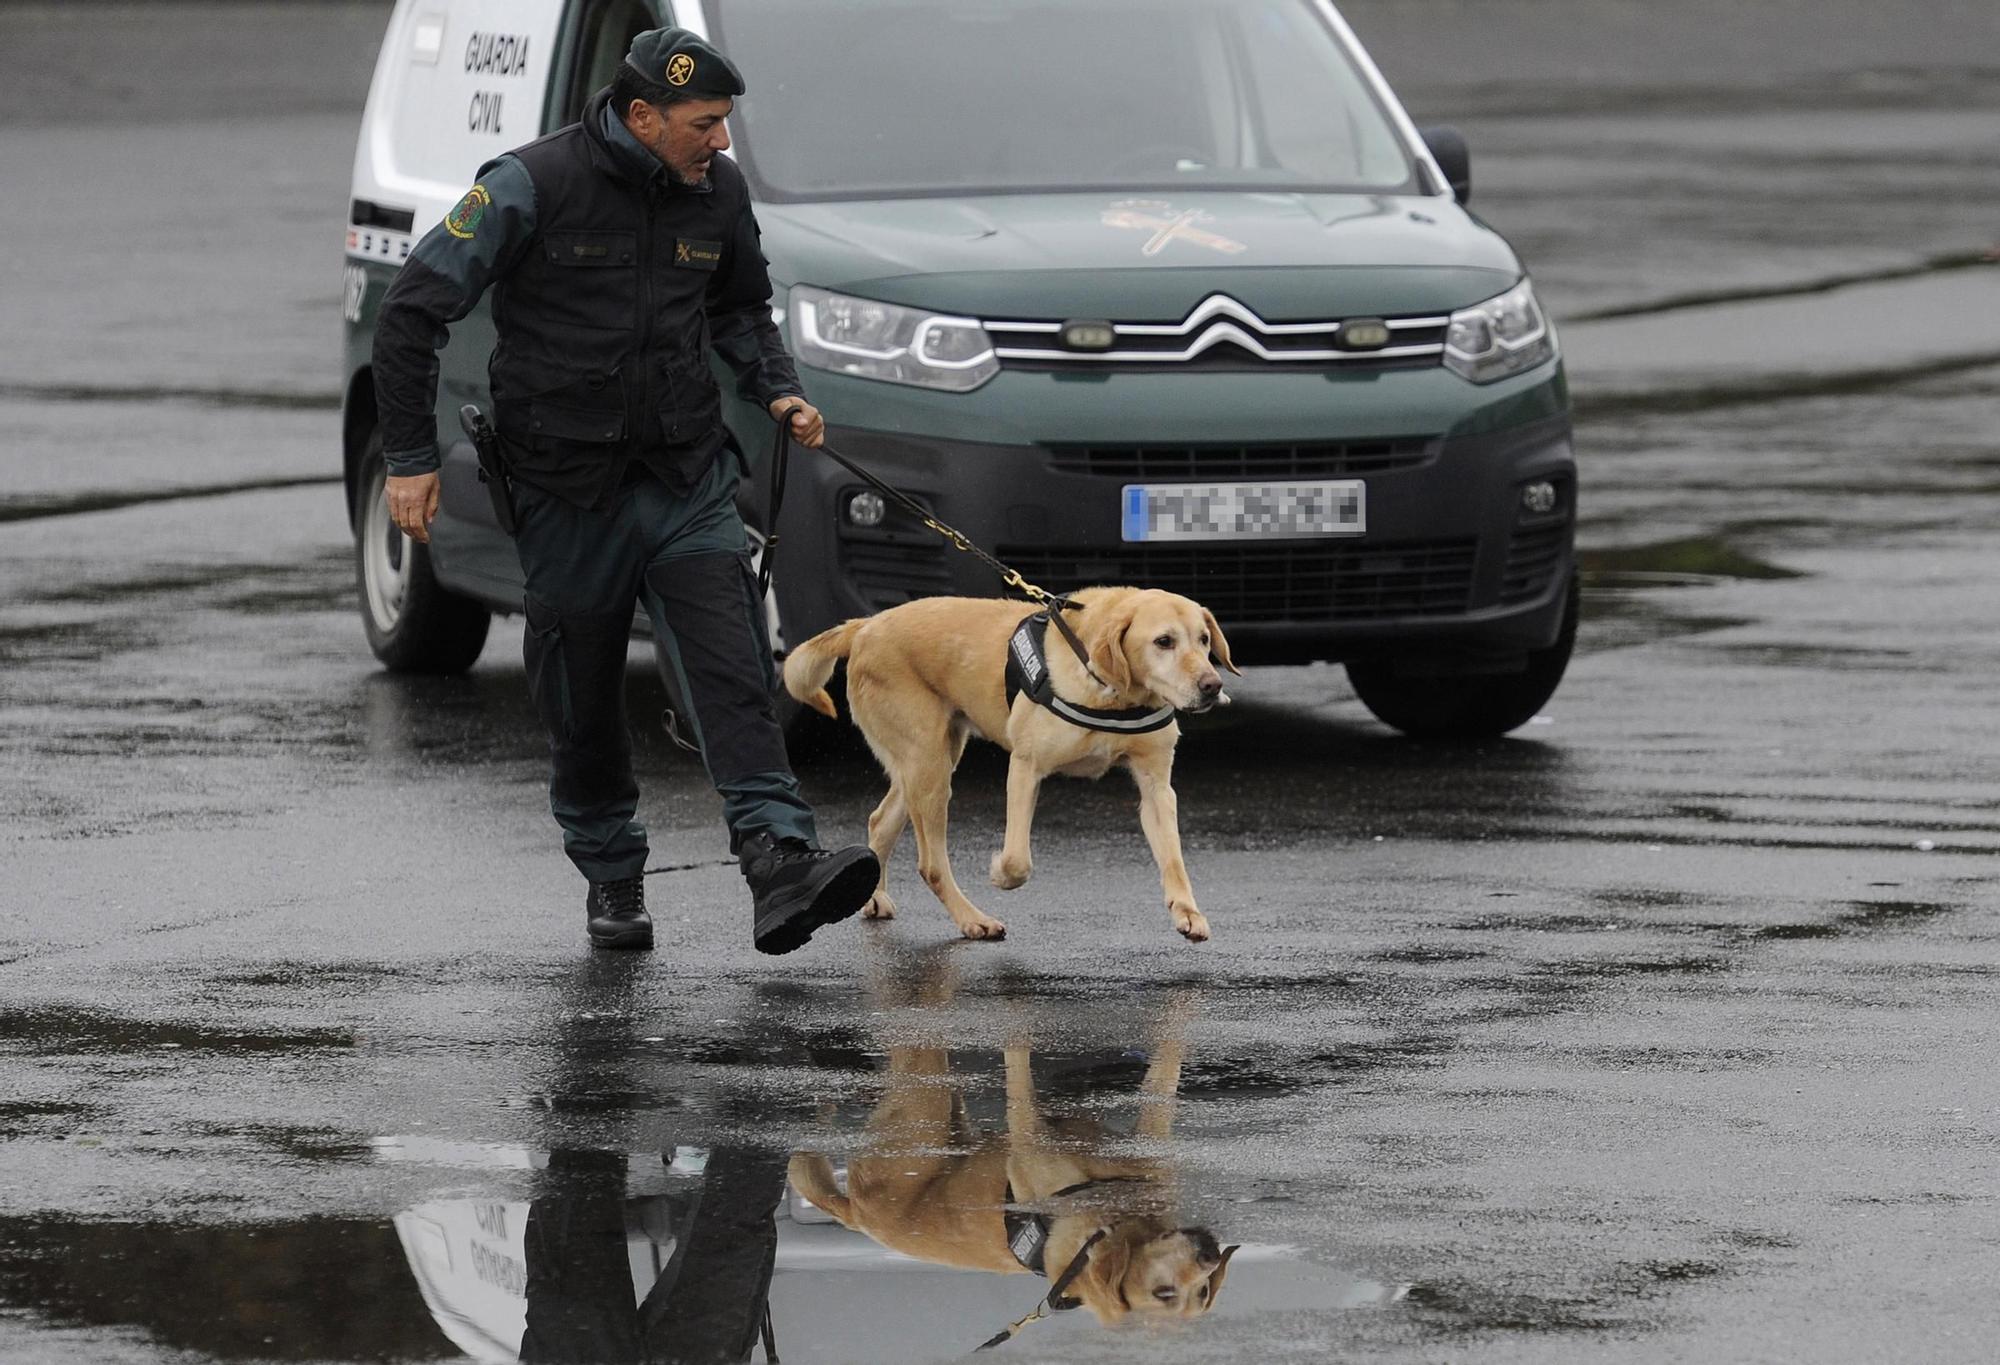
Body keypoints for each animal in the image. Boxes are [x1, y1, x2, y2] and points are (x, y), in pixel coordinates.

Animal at [780, 588, 1232, 940]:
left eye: (1203, 639)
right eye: (1163, 641)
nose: (1212, 686)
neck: (1111, 692)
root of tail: (866, 625)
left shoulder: (1156, 786)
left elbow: (1173, 858)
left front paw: (1187, 911)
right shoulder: (1025, 767)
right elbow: (1018, 860)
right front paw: (1000, 872)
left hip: (930, 760)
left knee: (880, 821)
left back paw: (873, 895)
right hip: (929, 766)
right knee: (931, 865)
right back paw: (972, 921)